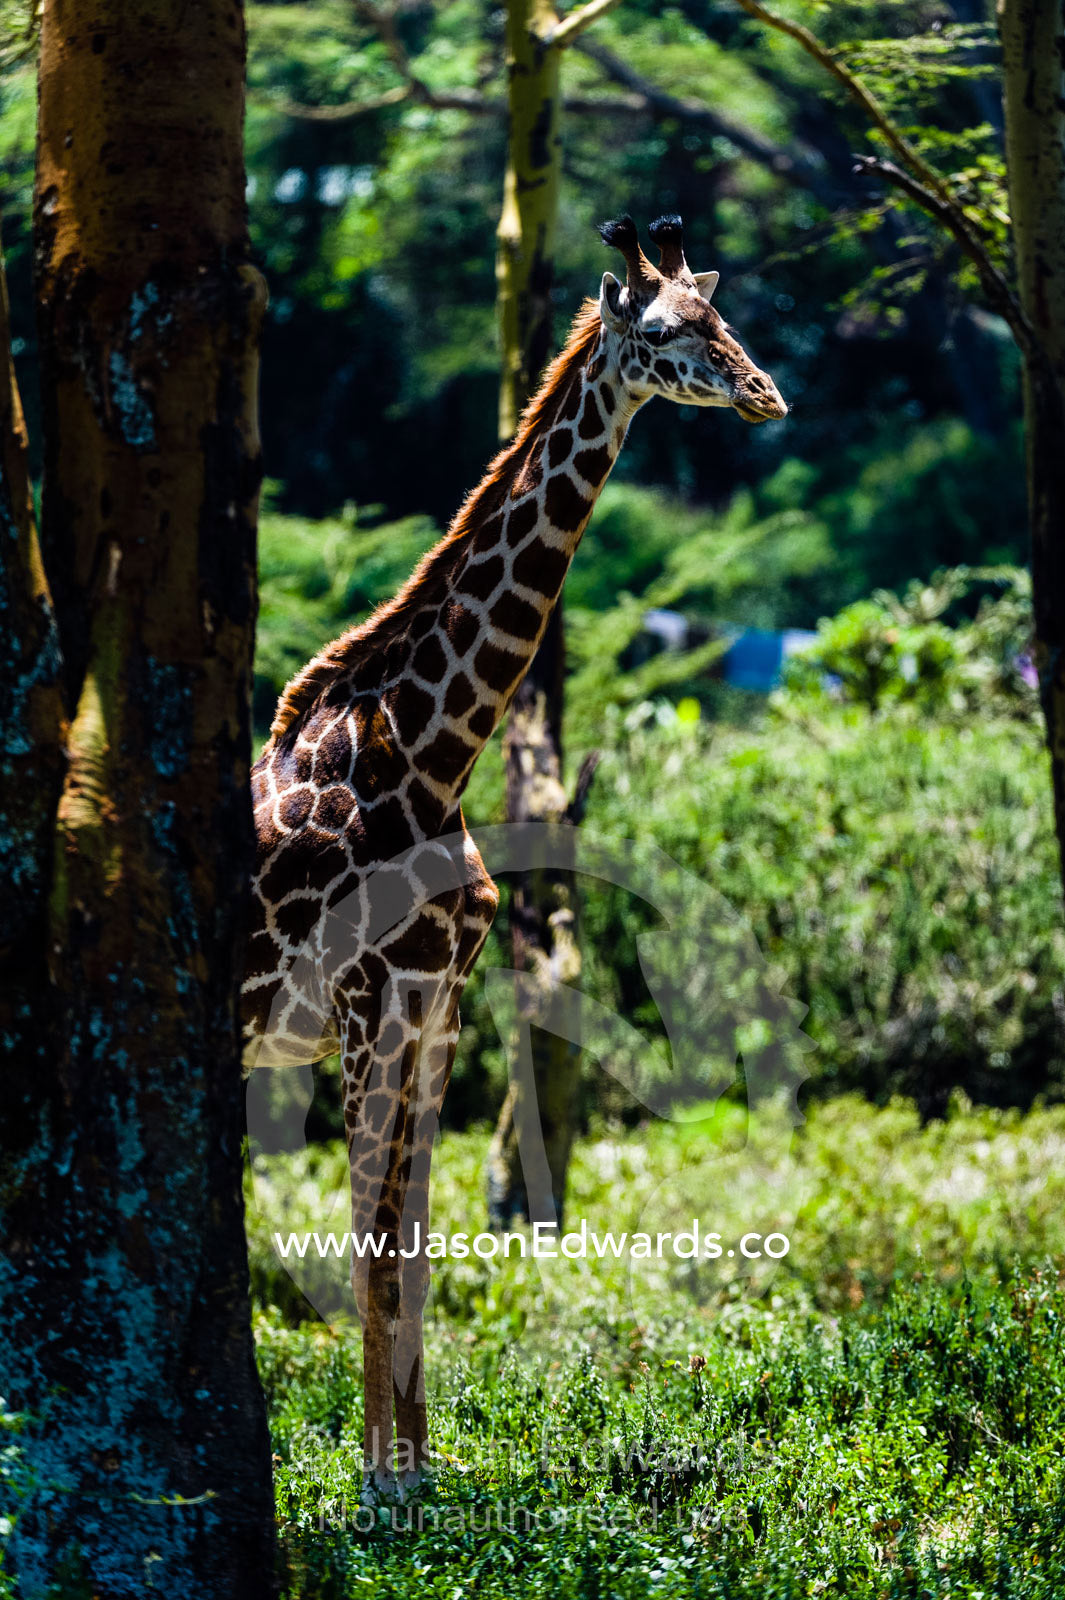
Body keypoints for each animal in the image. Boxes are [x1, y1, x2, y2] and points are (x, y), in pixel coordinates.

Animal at [242, 214, 787, 1496]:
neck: (435, 750)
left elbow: (420, 1242)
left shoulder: (440, 999)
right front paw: (380, 1484)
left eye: (727, 317)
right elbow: (368, 1244)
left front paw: (422, 1471)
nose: (768, 395)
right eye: (667, 331)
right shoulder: (365, 1002)